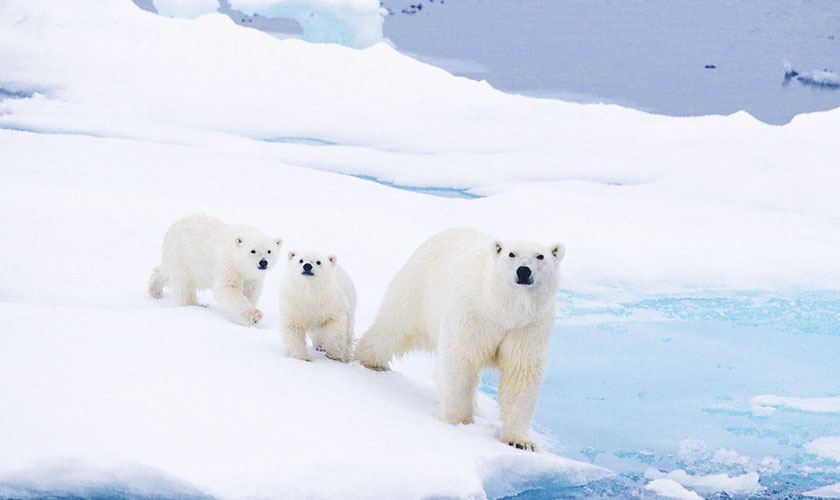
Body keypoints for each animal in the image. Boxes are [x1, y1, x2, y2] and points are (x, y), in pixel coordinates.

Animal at [148, 215, 282, 326]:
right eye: (253, 250)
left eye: (269, 251)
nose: (263, 262)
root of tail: (174, 226)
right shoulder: (228, 265)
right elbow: (228, 288)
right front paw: (253, 316)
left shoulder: (253, 277)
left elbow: (251, 291)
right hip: (182, 256)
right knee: (183, 285)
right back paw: (192, 305)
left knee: (167, 273)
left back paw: (155, 289)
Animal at [354, 227, 565, 451]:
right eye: (511, 254)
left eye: (540, 256)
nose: (523, 271)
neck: (501, 308)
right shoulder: (473, 312)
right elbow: (461, 359)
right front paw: (460, 422)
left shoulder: (528, 326)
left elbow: (521, 371)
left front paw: (520, 441)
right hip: (418, 288)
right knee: (393, 327)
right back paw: (371, 361)